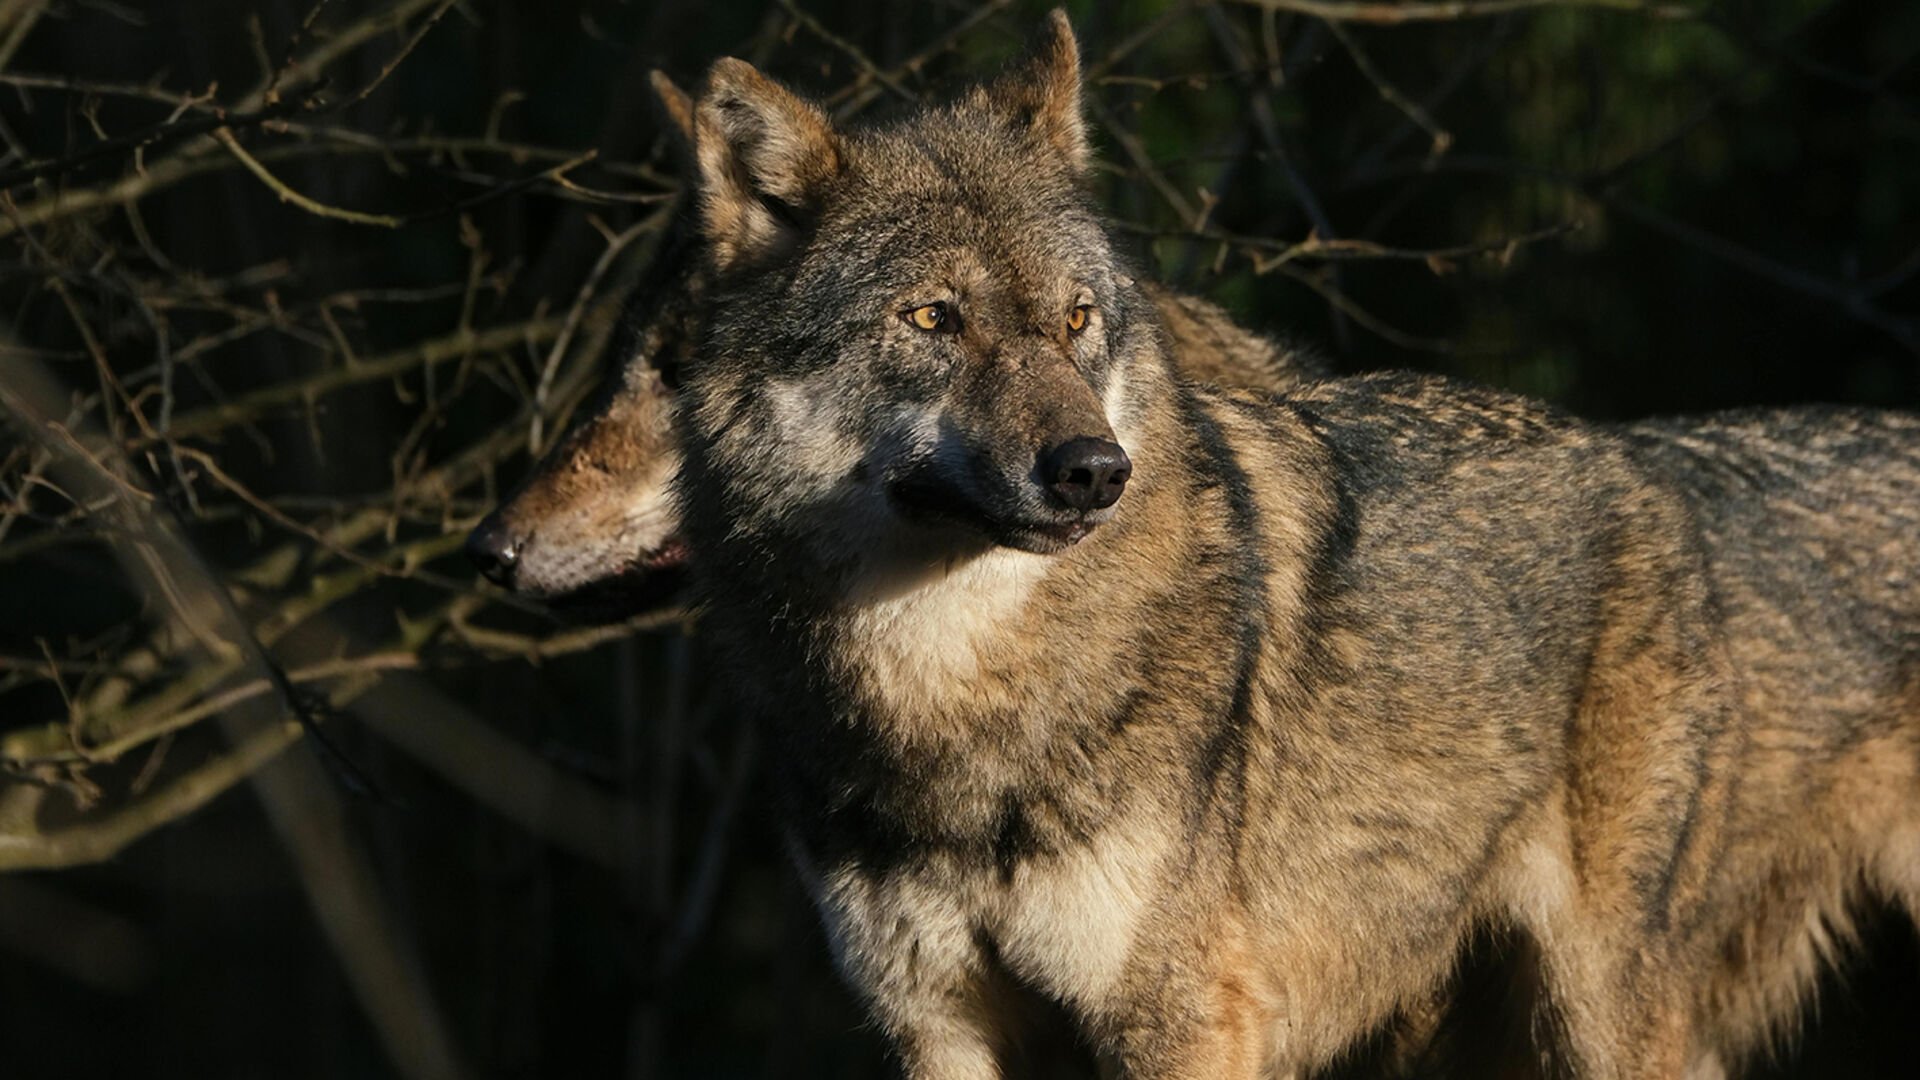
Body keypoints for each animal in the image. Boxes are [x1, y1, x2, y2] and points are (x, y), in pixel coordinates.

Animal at [664, 14, 1920, 1076]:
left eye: (1076, 320)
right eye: (933, 318)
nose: (1093, 472)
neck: (950, 705)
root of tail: (1666, 463)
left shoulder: (1175, 1017)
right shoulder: (936, 1027)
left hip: (1597, 1020)